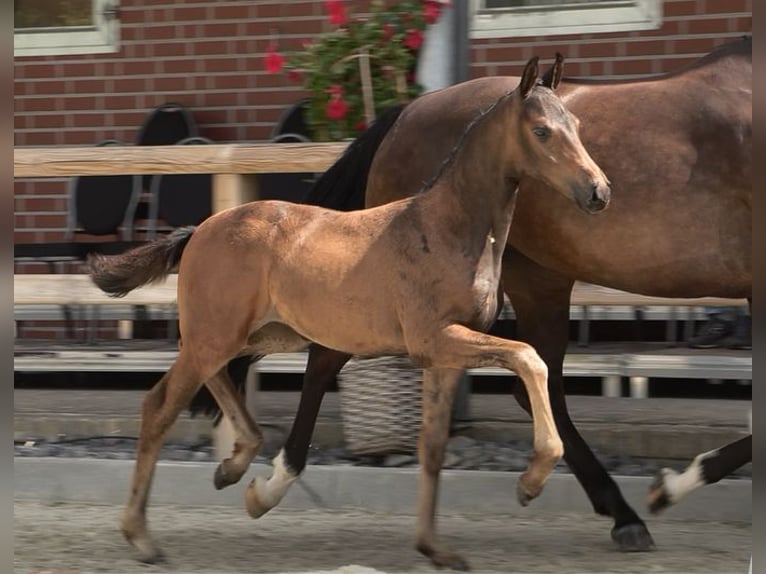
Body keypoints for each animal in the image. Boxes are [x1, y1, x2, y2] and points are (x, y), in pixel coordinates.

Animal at [87, 55, 608, 572]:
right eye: (541, 130)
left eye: (578, 125)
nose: (598, 191)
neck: (449, 227)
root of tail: (198, 231)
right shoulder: (433, 338)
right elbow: (529, 358)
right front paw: (531, 481)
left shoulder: (444, 354)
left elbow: (432, 445)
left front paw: (434, 549)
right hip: (219, 334)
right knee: (160, 406)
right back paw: (142, 537)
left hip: (258, 333)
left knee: (215, 379)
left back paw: (237, 471)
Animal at [219, 37, 752, 560]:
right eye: (541, 131)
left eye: (578, 127)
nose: (599, 191)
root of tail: (405, 112)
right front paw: (671, 486)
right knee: (327, 359)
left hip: (536, 282)